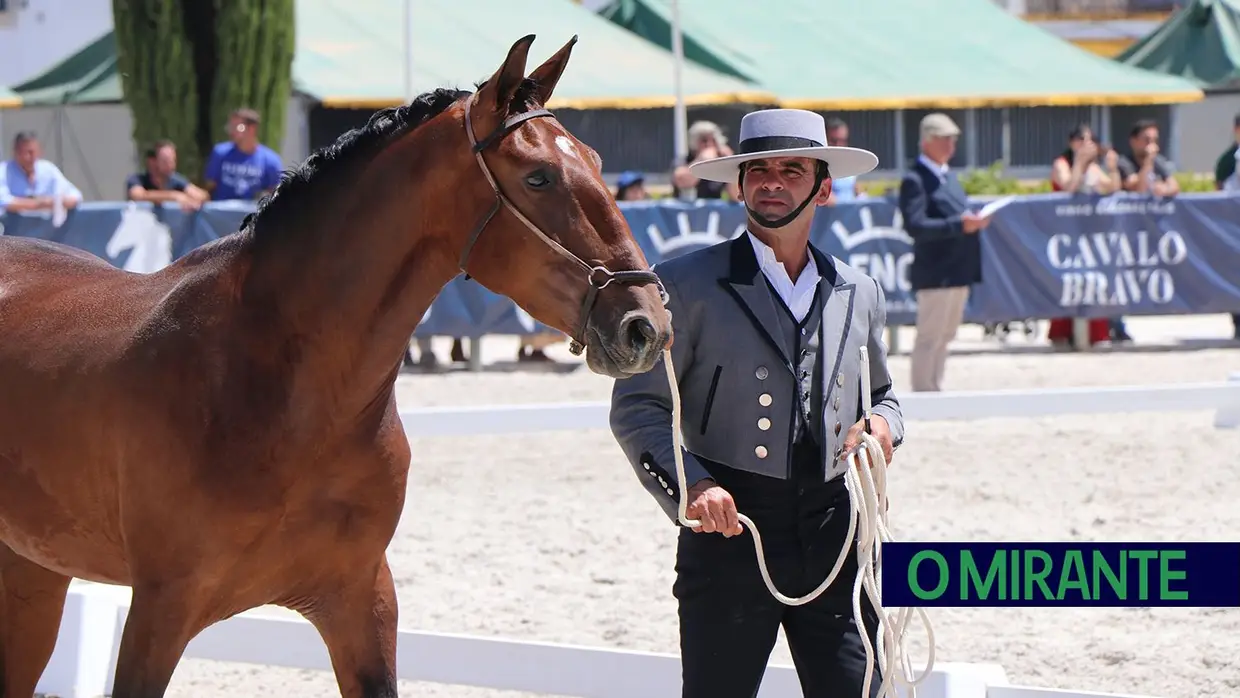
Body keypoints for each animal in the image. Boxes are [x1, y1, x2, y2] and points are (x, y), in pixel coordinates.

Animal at [0, 35, 669, 698]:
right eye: (538, 176)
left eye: (597, 161)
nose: (647, 324)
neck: (287, 396)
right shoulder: (159, 612)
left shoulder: (360, 601)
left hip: (33, 575)